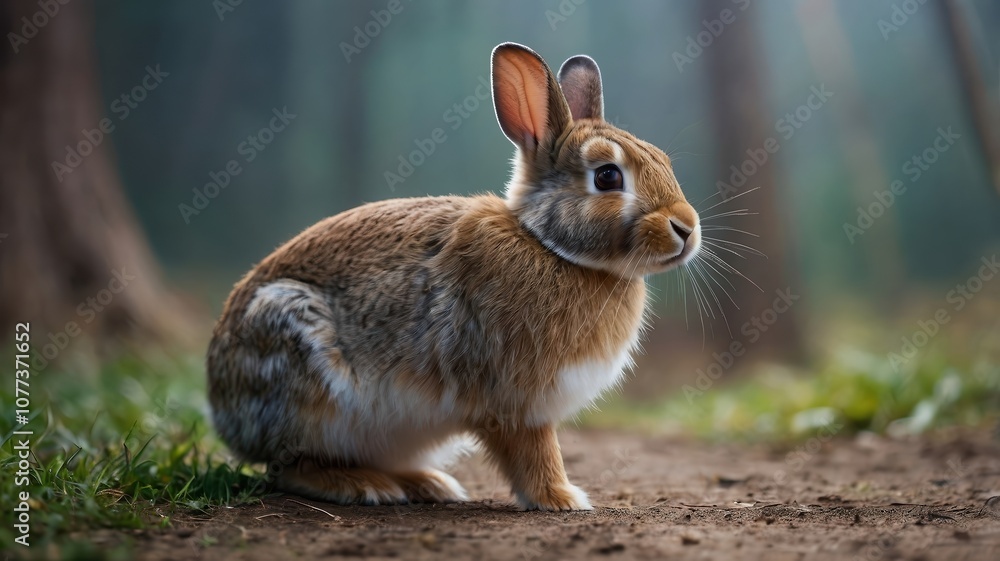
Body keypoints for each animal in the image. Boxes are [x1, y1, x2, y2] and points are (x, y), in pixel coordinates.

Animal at [206, 42, 701, 511]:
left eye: (663, 160)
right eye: (607, 176)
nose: (687, 227)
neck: (550, 247)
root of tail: (221, 407)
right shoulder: (513, 402)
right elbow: (536, 451)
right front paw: (562, 499)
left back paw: (427, 484)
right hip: (300, 368)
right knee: (290, 467)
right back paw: (365, 486)